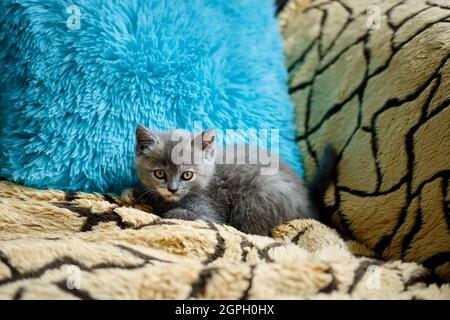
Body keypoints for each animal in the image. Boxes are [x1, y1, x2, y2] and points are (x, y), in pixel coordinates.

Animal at [134, 125, 334, 235]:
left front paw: (167, 213)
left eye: (187, 175)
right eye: (160, 174)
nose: (172, 189)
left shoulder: (209, 212)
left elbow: (179, 214)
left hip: (254, 202)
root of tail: (307, 202)